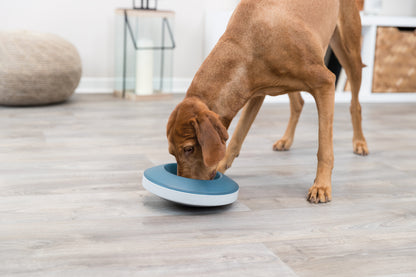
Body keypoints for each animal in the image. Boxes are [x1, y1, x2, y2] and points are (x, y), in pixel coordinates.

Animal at [166, 0, 368, 203]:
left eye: (189, 149)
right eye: (172, 152)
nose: (184, 186)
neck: (247, 42)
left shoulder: (325, 83)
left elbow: (324, 148)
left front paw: (321, 186)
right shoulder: (254, 92)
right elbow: (237, 137)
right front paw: (222, 164)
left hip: (349, 51)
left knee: (356, 104)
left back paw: (360, 143)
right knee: (298, 103)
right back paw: (286, 140)